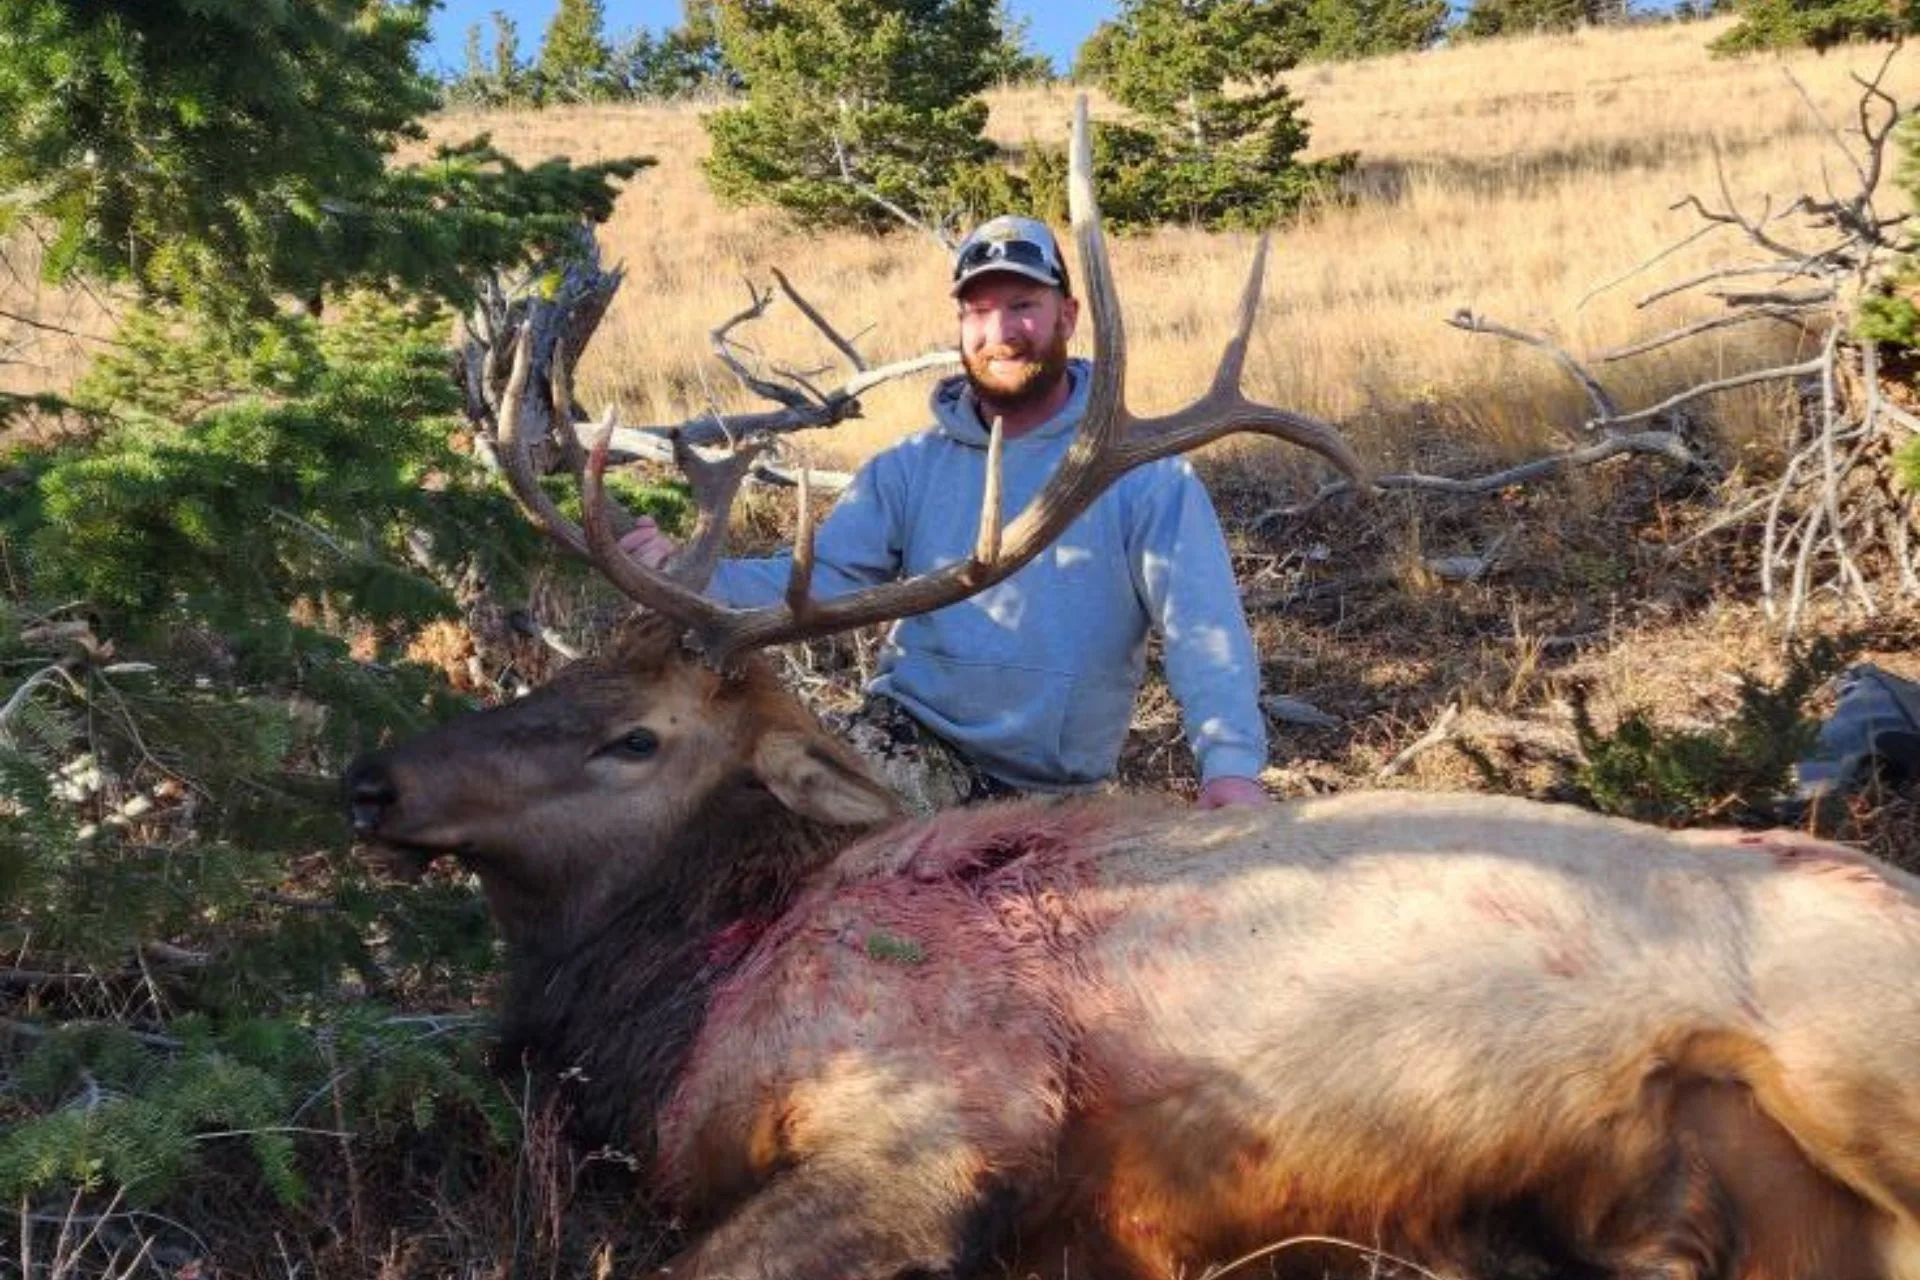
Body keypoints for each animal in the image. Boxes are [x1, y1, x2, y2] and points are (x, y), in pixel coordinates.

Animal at [346, 99, 1920, 1280]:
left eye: (634, 738)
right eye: (566, 670)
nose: (371, 777)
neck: (683, 1005)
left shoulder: (943, 1119)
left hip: (1853, 1049)